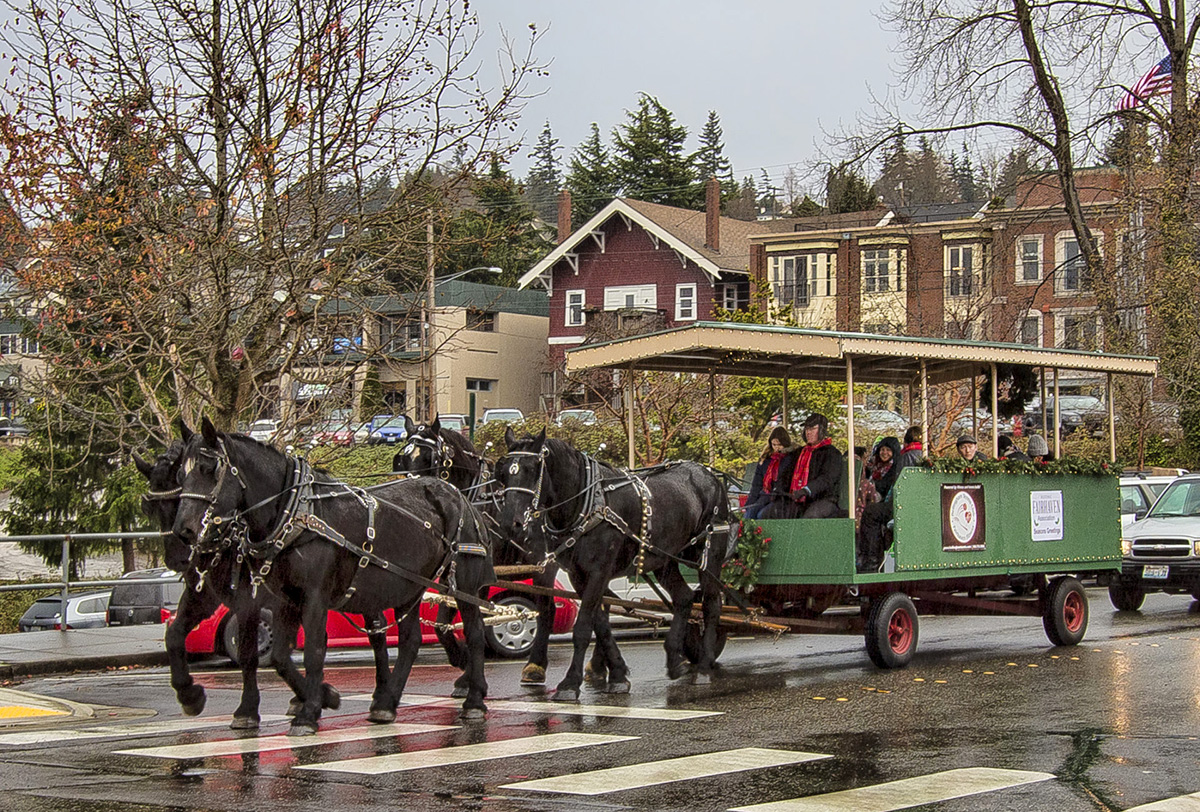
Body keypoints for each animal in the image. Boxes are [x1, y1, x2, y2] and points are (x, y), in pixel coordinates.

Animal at [132, 436, 338, 729]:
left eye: (181, 493)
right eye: (151, 508)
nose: (178, 558)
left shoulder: (252, 603)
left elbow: (252, 654)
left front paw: (248, 709)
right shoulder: (203, 597)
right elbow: (174, 635)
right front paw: (189, 694)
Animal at [170, 417, 492, 734]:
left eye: (209, 469)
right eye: (179, 475)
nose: (183, 531)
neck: (295, 513)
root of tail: (457, 495)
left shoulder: (309, 597)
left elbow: (311, 650)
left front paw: (308, 710)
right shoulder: (283, 600)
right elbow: (278, 656)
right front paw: (320, 698)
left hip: (465, 580)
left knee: (475, 631)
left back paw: (473, 699)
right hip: (408, 587)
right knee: (409, 640)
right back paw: (386, 703)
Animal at [393, 417, 561, 686]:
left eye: (430, 458)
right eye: (403, 459)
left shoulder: (477, 577)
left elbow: (474, 622)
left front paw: (466, 668)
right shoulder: (450, 576)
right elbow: (442, 623)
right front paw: (462, 663)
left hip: (543, 567)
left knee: (547, 610)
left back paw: (535, 666)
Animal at [489, 426, 729, 700]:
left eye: (532, 469)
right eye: (502, 473)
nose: (512, 524)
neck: (587, 504)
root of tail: (708, 474)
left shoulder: (599, 570)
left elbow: (583, 626)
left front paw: (570, 683)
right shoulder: (579, 575)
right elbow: (600, 623)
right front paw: (617, 673)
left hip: (709, 553)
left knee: (711, 604)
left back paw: (704, 666)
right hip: (664, 558)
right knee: (685, 598)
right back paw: (675, 659)